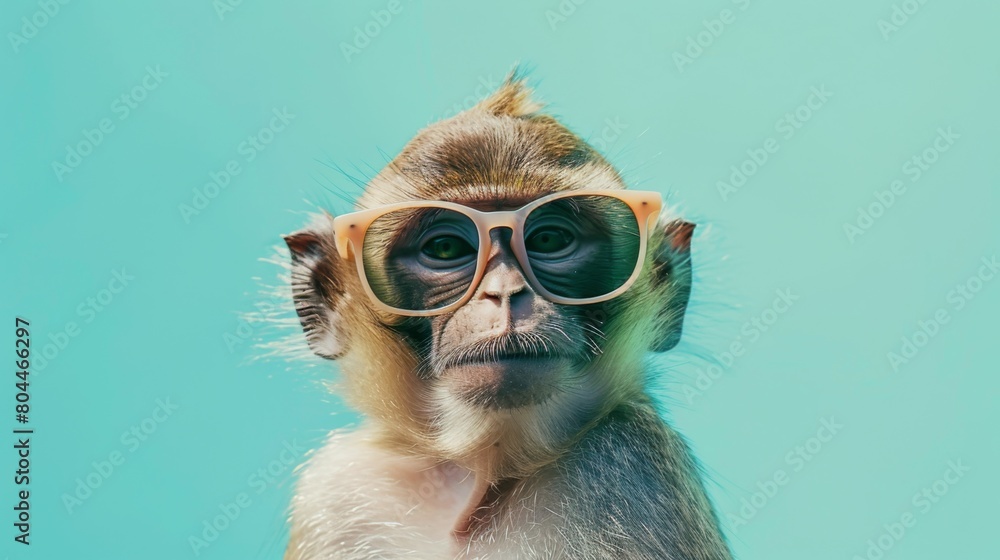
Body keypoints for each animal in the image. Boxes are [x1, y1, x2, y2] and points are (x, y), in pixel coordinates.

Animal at [280, 73, 733, 560]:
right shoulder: (339, 487)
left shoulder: (635, 461)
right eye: (446, 249)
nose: (504, 293)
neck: (485, 473)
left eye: (550, 240)